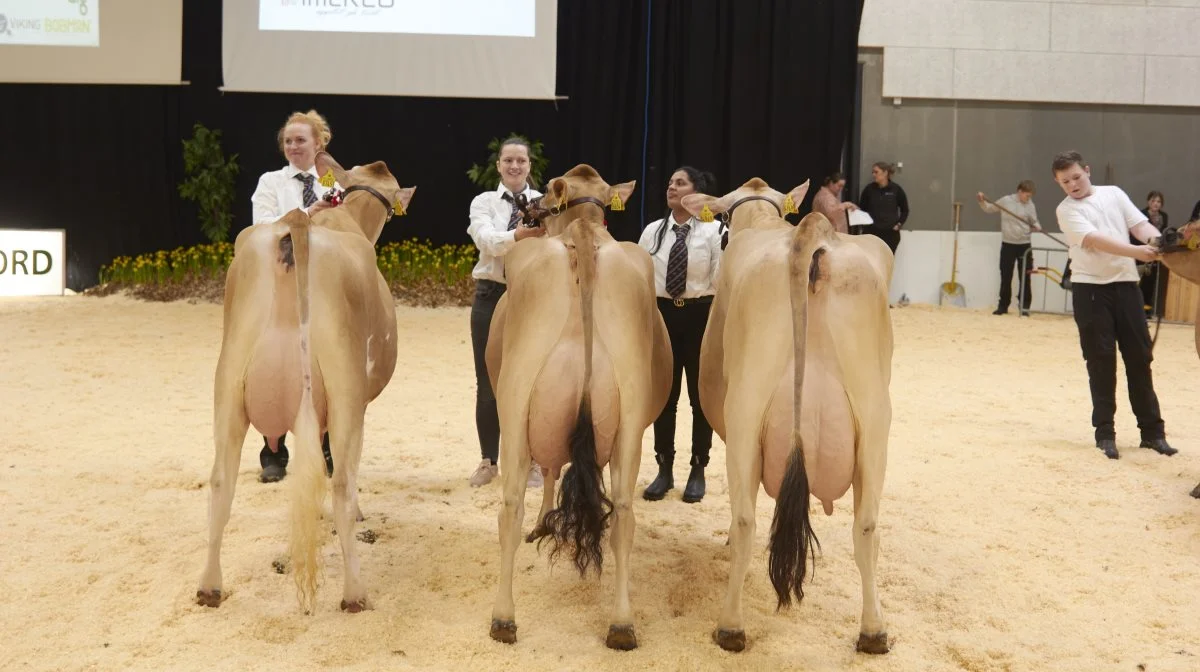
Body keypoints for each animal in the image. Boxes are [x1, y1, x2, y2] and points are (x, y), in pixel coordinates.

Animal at [196, 152, 417, 614]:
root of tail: (297, 223)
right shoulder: (354, 404)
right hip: (345, 388)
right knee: (341, 482)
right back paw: (355, 594)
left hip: (227, 386)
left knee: (222, 480)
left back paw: (209, 586)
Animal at [487, 164, 676, 652]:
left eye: (545, 203)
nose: (529, 214)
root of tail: (584, 243)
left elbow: (551, 467)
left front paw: (543, 522)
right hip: (629, 421)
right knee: (624, 512)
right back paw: (622, 624)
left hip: (513, 406)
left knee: (510, 505)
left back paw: (503, 618)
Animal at [681, 178, 897, 657]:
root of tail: (812, 234)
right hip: (875, 418)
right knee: (868, 527)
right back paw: (874, 631)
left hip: (745, 410)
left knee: (745, 521)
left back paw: (730, 627)